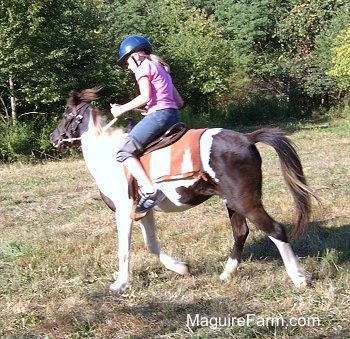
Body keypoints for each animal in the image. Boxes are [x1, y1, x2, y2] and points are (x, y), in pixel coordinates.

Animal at [50, 88, 314, 294]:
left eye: (65, 115)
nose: (53, 137)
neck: (108, 156)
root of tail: (248, 138)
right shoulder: (143, 212)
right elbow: (151, 245)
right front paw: (181, 268)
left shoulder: (124, 211)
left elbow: (124, 248)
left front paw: (120, 284)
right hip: (232, 203)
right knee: (241, 232)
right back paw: (226, 274)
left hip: (246, 202)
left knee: (275, 230)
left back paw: (299, 278)